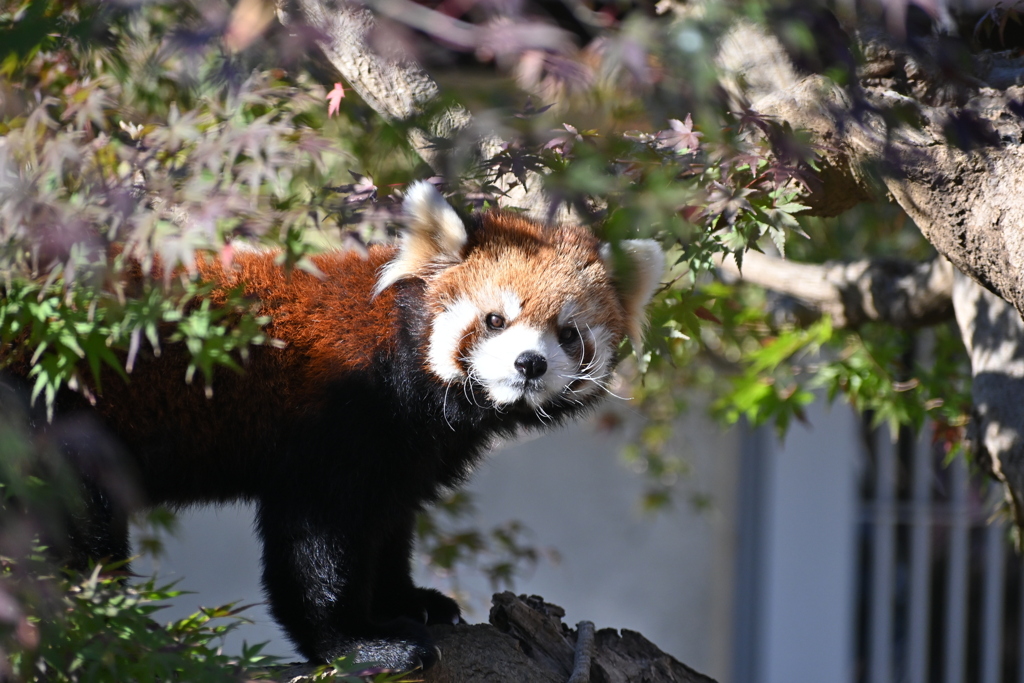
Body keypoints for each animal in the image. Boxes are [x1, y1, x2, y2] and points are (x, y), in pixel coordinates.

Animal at [14, 180, 663, 667]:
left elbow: (389, 523)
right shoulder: (336, 420)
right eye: (495, 320)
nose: (529, 363)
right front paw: (358, 644)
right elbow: (316, 543)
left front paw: (409, 600)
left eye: (568, 333)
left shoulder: (405, 454)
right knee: (79, 522)